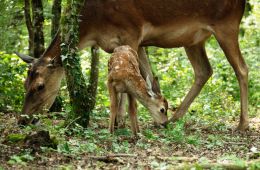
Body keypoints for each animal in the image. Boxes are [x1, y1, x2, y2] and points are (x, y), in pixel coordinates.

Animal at [15, 0, 248, 131]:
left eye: (40, 86)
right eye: (24, 84)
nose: (23, 120)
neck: (93, 27)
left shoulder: (132, 31)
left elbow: (136, 79)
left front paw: (122, 122)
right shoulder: (127, 43)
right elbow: (147, 77)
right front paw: (153, 115)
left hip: (227, 25)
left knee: (242, 68)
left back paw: (242, 125)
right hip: (193, 39)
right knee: (204, 70)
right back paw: (175, 118)